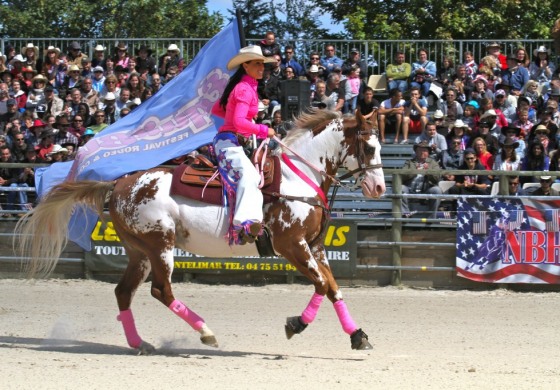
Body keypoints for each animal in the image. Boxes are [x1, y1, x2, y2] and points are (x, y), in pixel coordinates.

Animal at [17, 109, 384, 354]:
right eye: (368, 148)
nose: (379, 187)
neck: (297, 179)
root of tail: (119, 183)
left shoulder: (314, 246)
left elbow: (334, 288)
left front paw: (358, 336)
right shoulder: (291, 245)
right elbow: (321, 285)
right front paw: (295, 325)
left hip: (139, 252)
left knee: (124, 292)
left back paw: (140, 343)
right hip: (160, 246)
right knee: (161, 291)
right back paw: (206, 333)